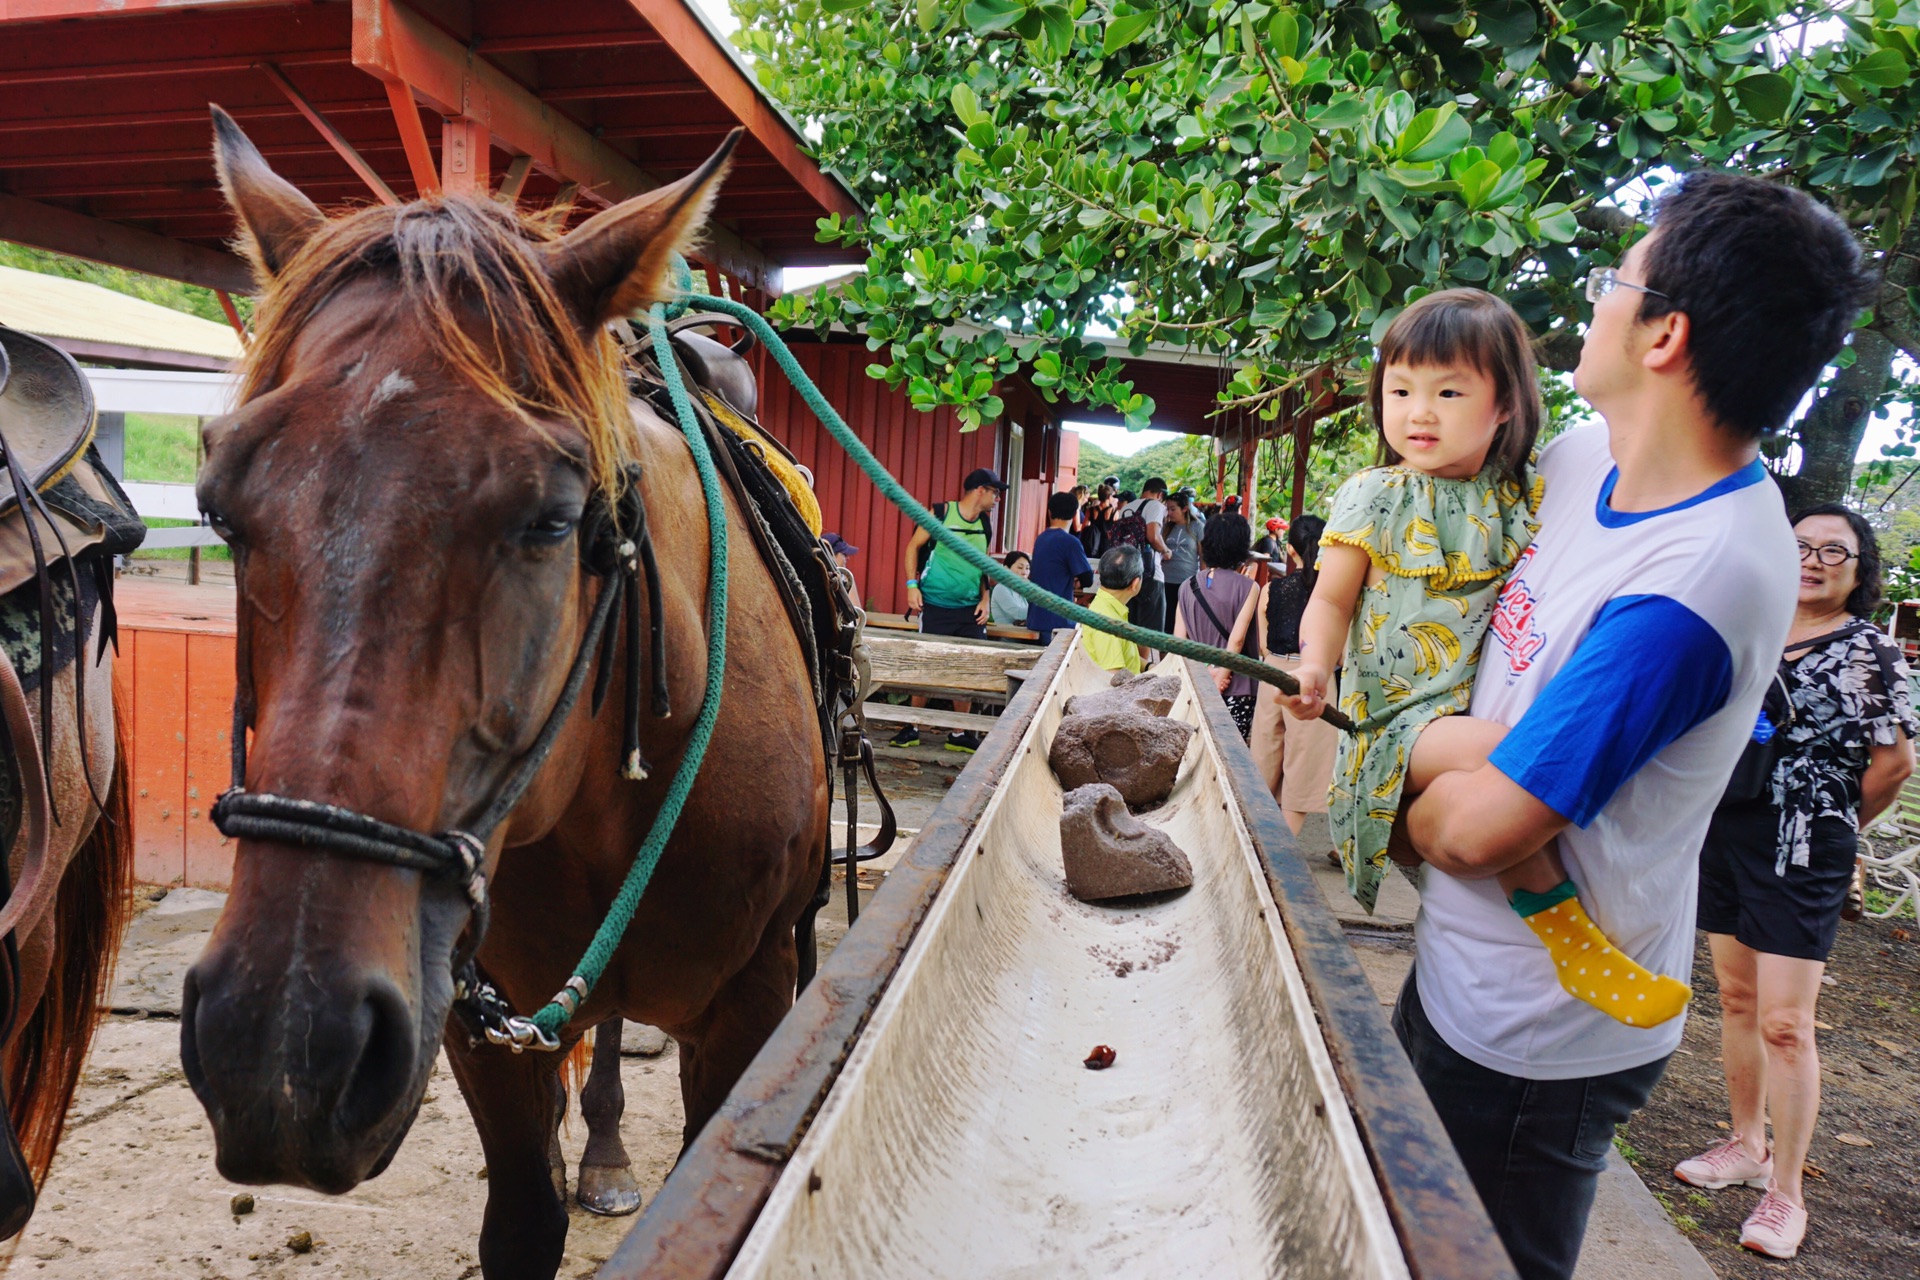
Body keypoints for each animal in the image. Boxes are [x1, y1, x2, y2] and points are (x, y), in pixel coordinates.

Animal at [183, 115, 829, 1274]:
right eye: (219, 507)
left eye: (551, 518)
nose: (283, 1043)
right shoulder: (471, 1015)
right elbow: (523, 1217)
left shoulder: (750, 1008)